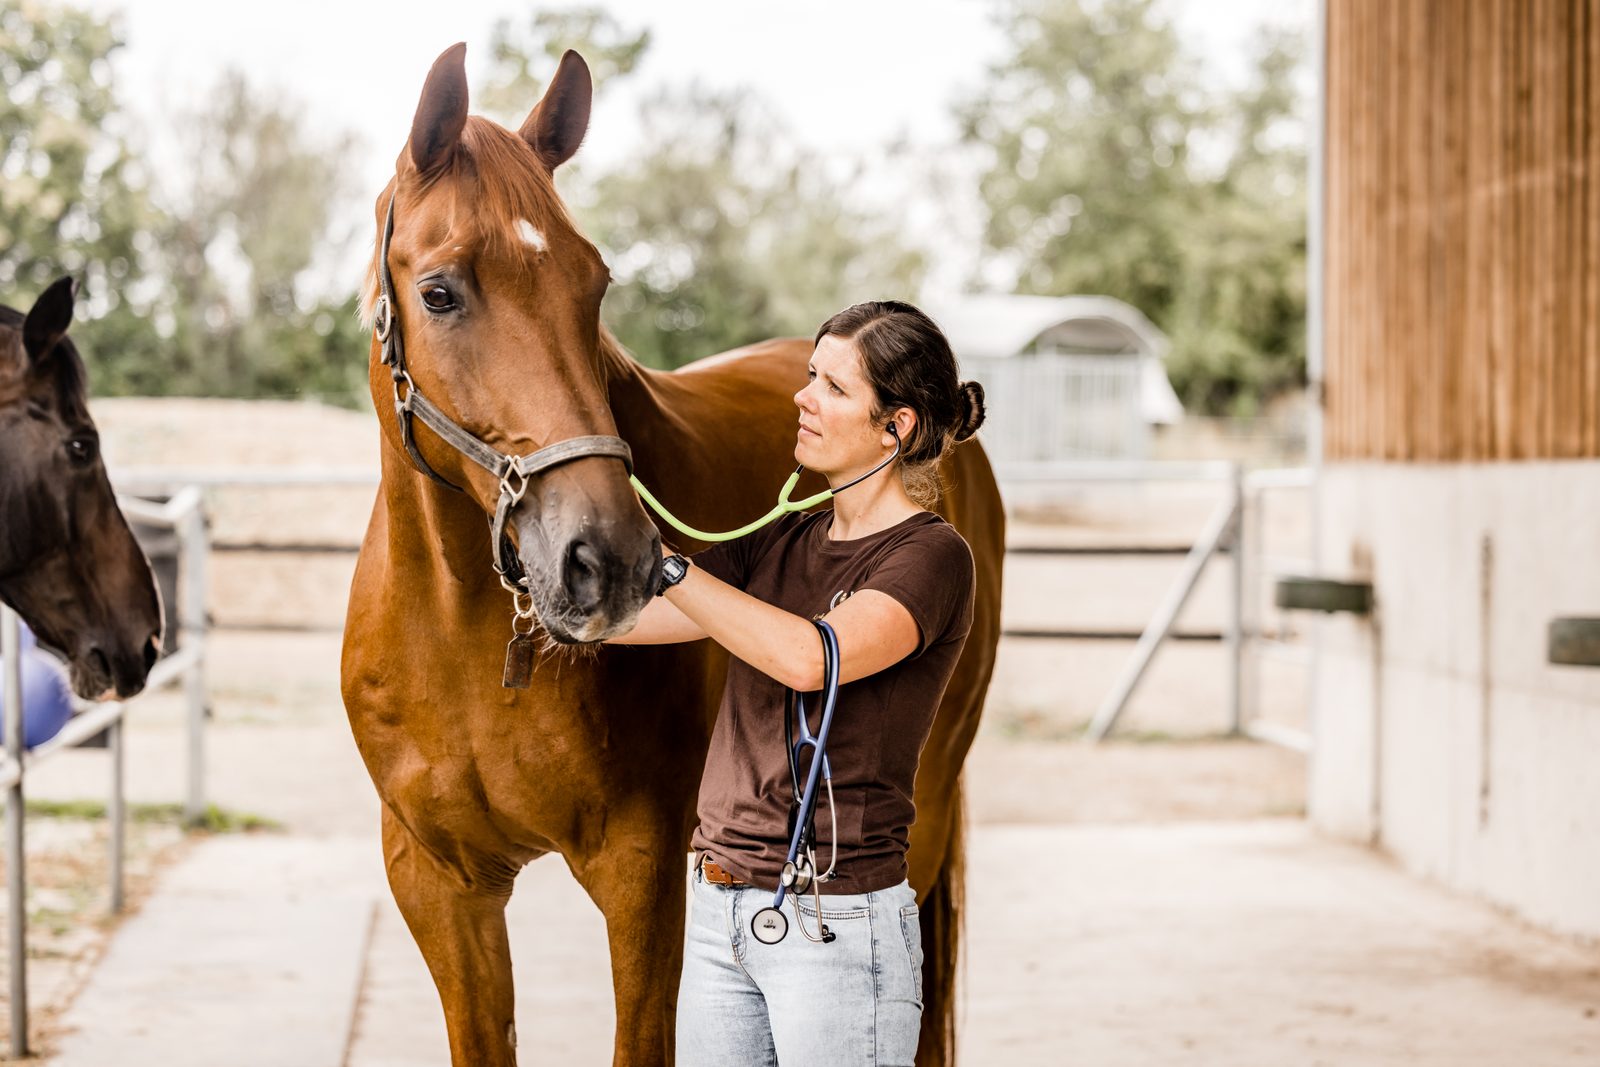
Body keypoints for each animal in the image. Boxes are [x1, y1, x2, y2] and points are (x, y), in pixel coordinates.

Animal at [340, 44, 1004, 1066]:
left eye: (594, 286)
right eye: (440, 290)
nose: (606, 560)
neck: (458, 633)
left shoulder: (645, 870)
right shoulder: (439, 882)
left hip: (921, 814)